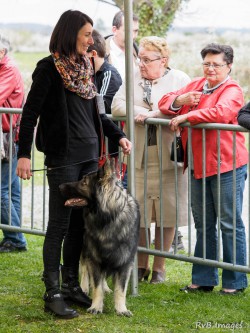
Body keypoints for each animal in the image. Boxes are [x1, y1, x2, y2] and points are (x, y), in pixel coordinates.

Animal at [59, 160, 140, 316]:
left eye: (83, 182)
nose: (59, 186)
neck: (108, 218)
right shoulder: (95, 258)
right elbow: (96, 286)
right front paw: (96, 306)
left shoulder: (125, 262)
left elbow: (120, 289)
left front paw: (121, 309)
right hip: (85, 246)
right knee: (85, 267)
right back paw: (84, 288)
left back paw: (106, 288)